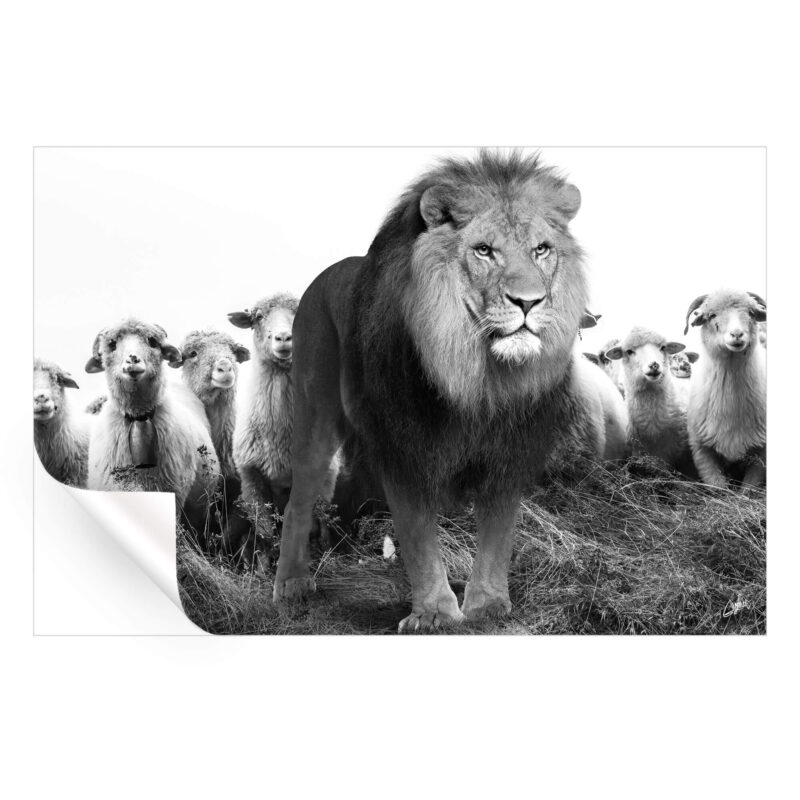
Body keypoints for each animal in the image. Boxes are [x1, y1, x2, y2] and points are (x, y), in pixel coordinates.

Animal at [273, 150, 590, 631]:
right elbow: (419, 535)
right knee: (300, 497)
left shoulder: (508, 451)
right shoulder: (404, 447)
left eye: (542, 249)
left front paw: (487, 607)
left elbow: (498, 532)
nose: (530, 302)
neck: (478, 377)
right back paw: (291, 584)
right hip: (315, 414)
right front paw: (435, 614)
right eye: (484, 250)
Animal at [683, 289, 766, 491]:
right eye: (712, 315)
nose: (736, 334)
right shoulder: (701, 449)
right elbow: (718, 489)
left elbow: (747, 492)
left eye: (751, 313)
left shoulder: (761, 452)